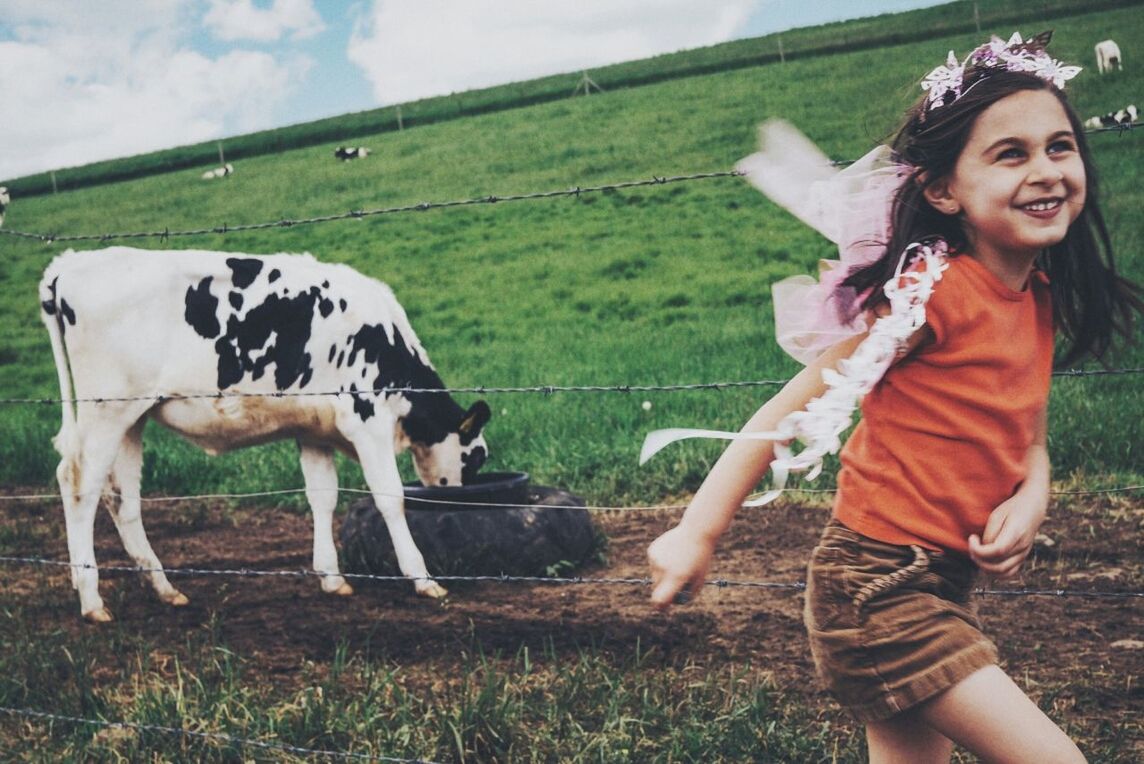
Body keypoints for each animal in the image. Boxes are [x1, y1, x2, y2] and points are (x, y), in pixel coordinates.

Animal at [36, 249, 487, 622]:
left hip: (133, 416)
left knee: (121, 497)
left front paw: (332, 577)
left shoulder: (314, 429)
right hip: (106, 409)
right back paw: (91, 599)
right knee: (78, 483)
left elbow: (323, 497)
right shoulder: (367, 418)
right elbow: (390, 498)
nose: (460, 502)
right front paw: (422, 578)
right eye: (475, 457)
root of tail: (71, 262)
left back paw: (163, 588)